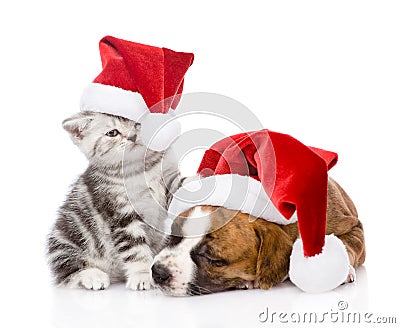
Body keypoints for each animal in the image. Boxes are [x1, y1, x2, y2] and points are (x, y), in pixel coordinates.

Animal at [46, 112, 181, 290]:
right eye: (112, 133)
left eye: (138, 123)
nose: (132, 136)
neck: (140, 167)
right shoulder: (120, 214)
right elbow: (134, 247)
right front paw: (143, 274)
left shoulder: (168, 180)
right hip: (65, 238)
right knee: (67, 269)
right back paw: (93, 276)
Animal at [150, 178, 366, 296]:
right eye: (173, 238)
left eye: (214, 260)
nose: (158, 272)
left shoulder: (353, 228)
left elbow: (348, 244)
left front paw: (343, 269)